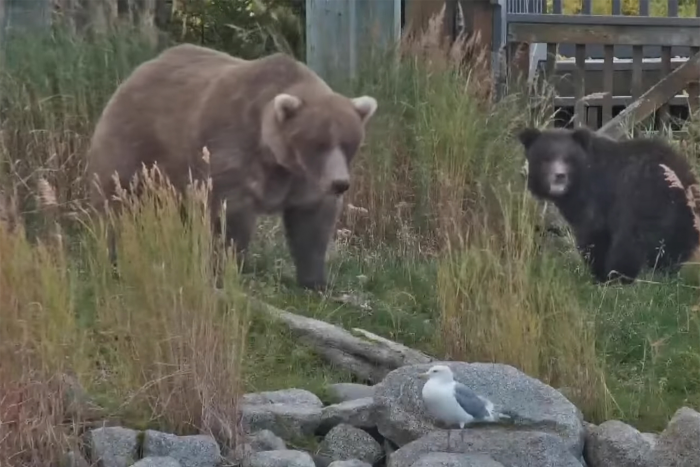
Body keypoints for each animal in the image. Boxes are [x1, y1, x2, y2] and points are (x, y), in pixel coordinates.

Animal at [90, 44, 380, 292]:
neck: (275, 157)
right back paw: (114, 258)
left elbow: (312, 222)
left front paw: (316, 282)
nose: (340, 183)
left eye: (349, 143)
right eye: (318, 143)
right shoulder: (232, 152)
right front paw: (225, 270)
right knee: (119, 204)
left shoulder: (304, 180)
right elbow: (229, 217)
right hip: (137, 147)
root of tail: (137, 71)